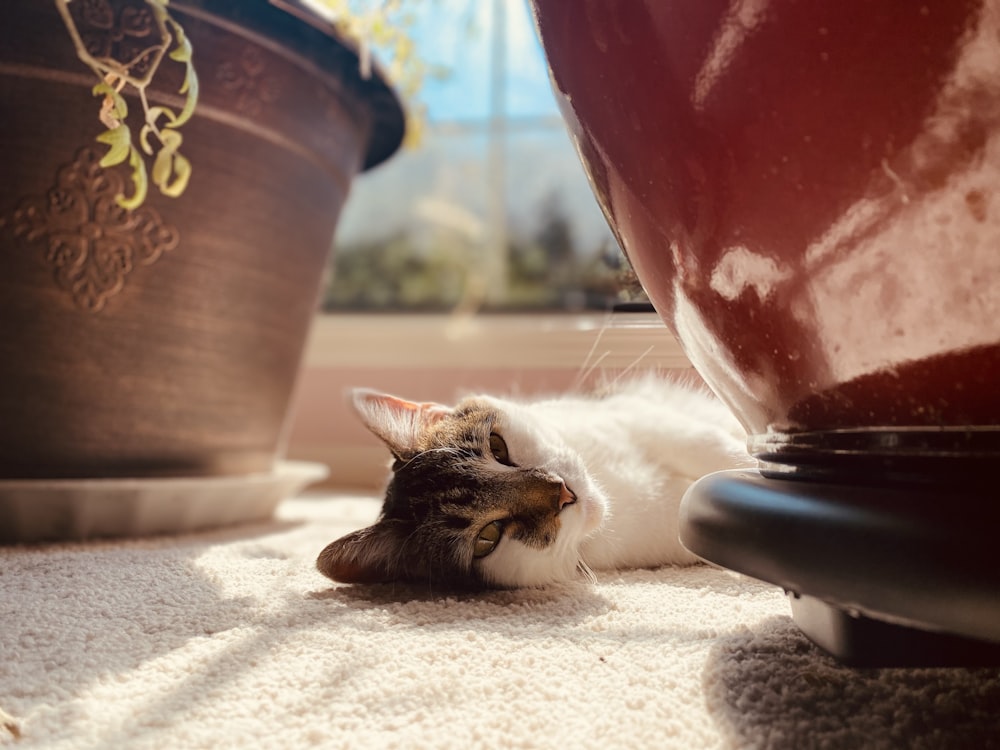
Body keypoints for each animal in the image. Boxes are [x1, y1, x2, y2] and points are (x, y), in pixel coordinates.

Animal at [316, 378, 752, 592]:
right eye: (488, 537)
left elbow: (706, 445)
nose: (562, 491)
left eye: (497, 446)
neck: (614, 489)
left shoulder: (633, 413)